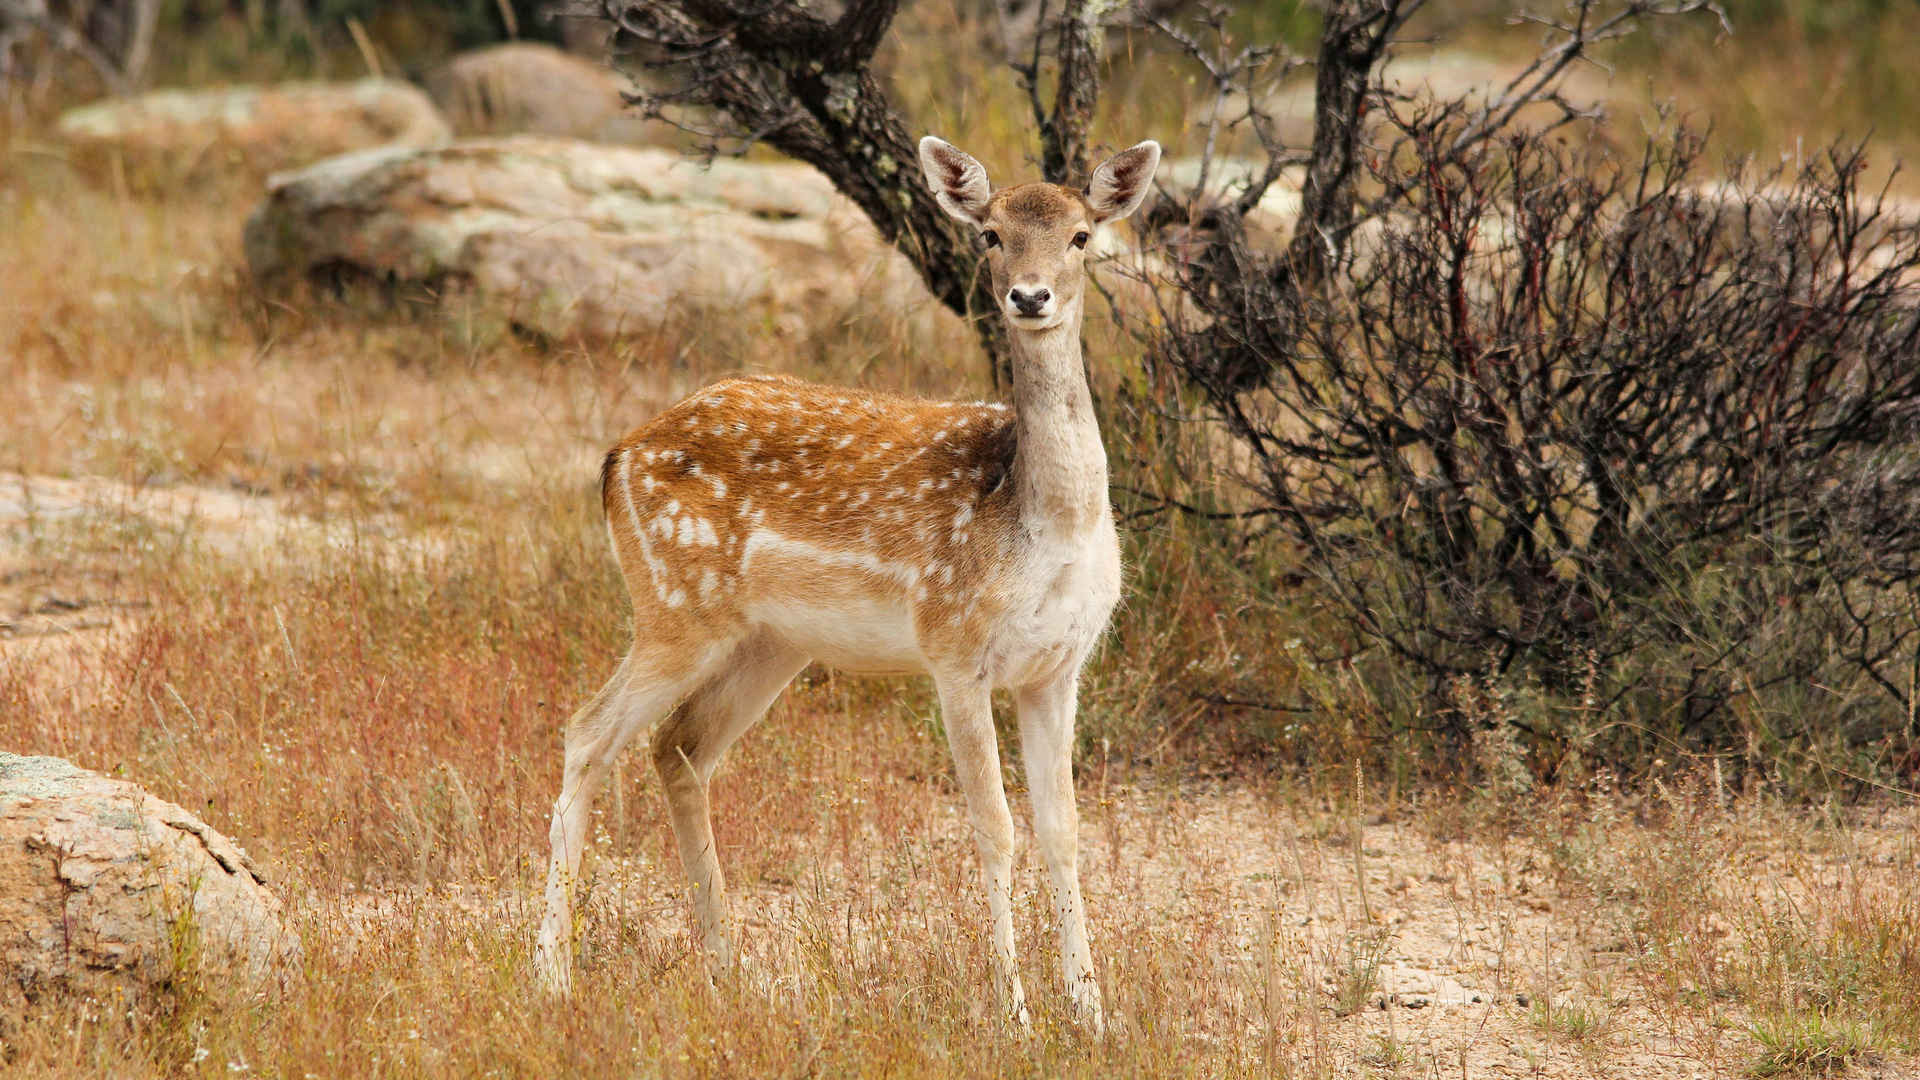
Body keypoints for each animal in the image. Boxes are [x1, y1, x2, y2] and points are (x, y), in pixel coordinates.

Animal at [529, 132, 1152, 1022]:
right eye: (990, 234)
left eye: (1081, 236)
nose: (1030, 297)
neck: (1042, 525)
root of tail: (616, 457)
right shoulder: (954, 646)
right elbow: (994, 829)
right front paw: (1017, 1015)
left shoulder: (1057, 667)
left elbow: (1064, 833)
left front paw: (1093, 1015)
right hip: (674, 605)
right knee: (587, 731)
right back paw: (551, 974)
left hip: (770, 642)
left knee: (680, 745)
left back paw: (728, 967)